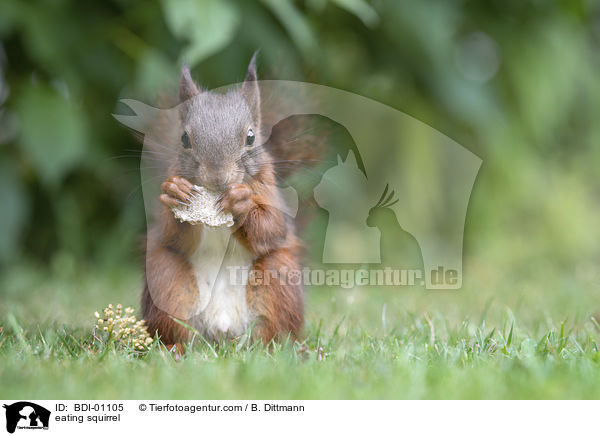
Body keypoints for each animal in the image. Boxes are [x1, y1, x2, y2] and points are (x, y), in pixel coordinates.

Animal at [141, 54, 308, 350]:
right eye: (184, 138)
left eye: (251, 137)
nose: (218, 177)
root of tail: (222, 332)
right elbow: (174, 235)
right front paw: (175, 192)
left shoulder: (270, 193)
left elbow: (272, 227)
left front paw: (241, 203)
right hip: (166, 281)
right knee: (176, 328)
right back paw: (174, 349)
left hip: (278, 279)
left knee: (272, 330)